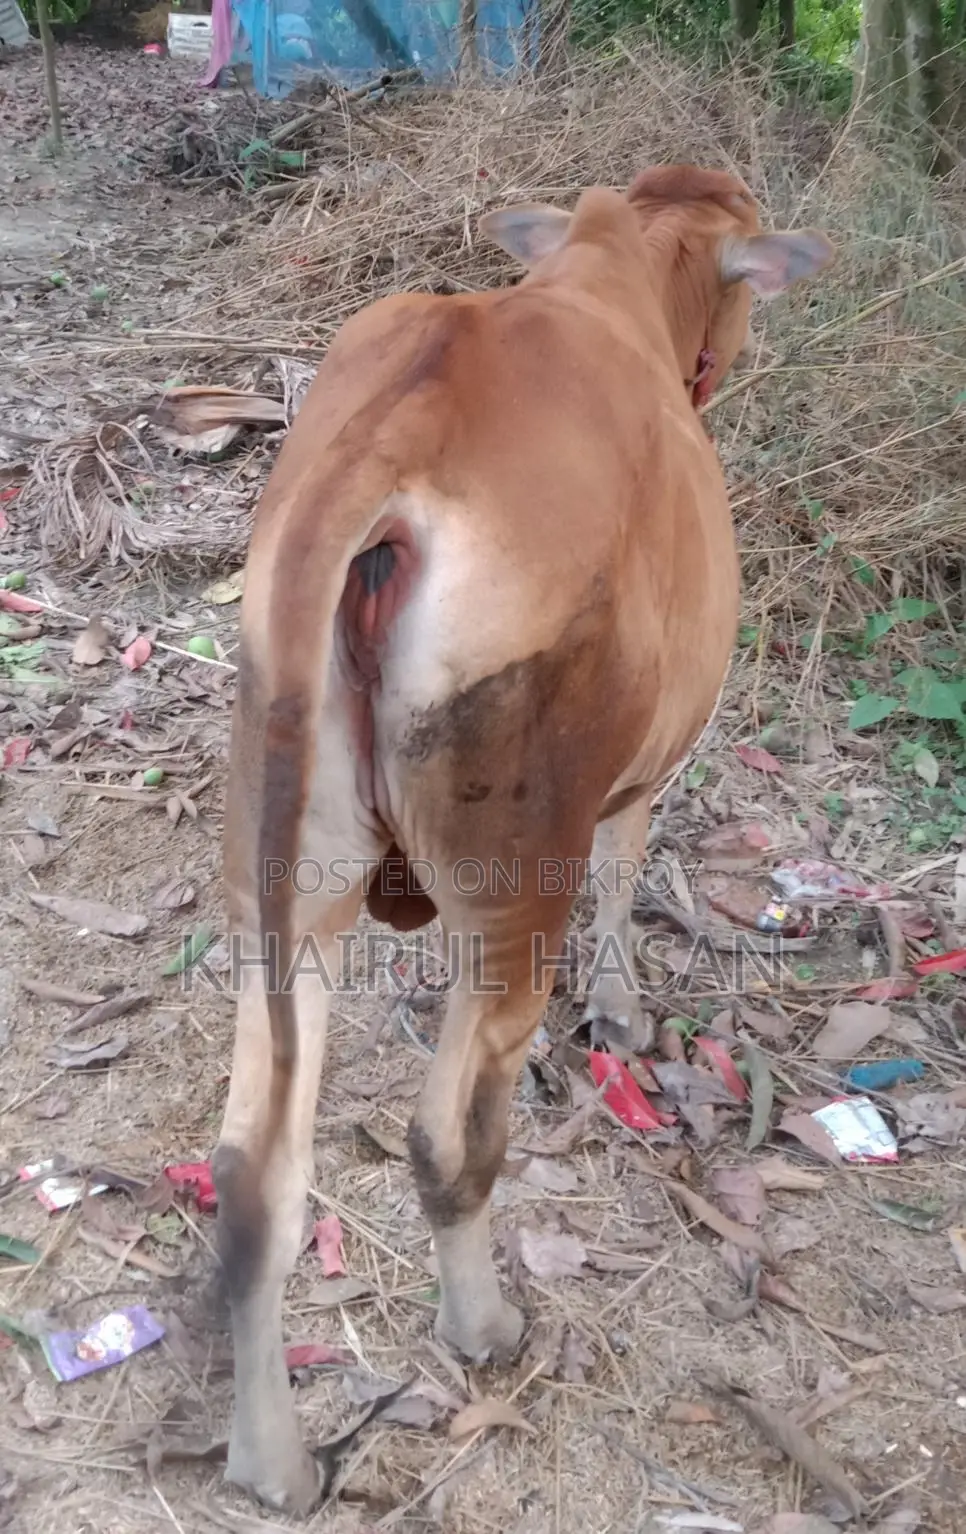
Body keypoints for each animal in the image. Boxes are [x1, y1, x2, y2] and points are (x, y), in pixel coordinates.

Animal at [212, 163, 833, 1513]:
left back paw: (270, 1455)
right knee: (449, 1137)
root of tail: (393, 447)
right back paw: (484, 1328)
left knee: (250, 1176)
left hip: (290, 881)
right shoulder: (643, 771)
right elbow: (625, 867)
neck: (613, 273)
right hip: (513, 885)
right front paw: (619, 1011)